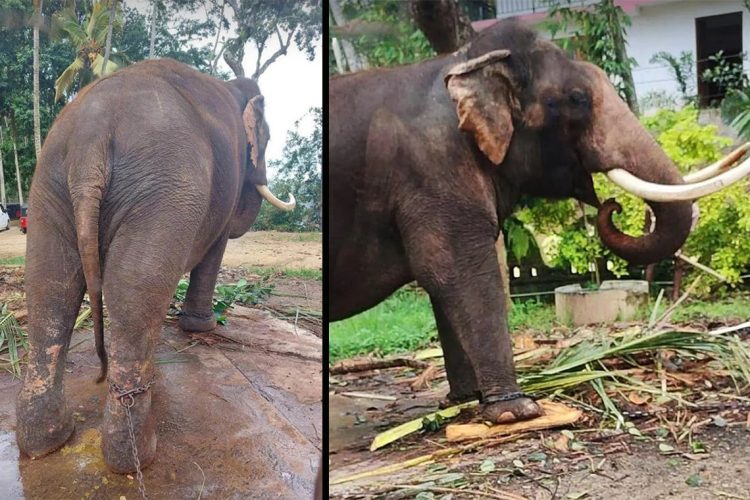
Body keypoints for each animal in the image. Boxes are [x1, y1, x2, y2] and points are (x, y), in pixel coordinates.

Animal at [16, 58, 295, 473]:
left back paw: (48, 441)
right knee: (133, 287)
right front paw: (202, 327)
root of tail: (91, 137)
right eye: (270, 138)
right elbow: (216, 247)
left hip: (50, 185)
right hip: (165, 190)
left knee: (51, 283)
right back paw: (137, 456)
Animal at [328, 20, 746, 424]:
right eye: (577, 99)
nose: (611, 206)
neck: (461, 62)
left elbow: (443, 284)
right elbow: (456, 271)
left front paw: (465, 400)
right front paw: (517, 412)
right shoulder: (433, 168)